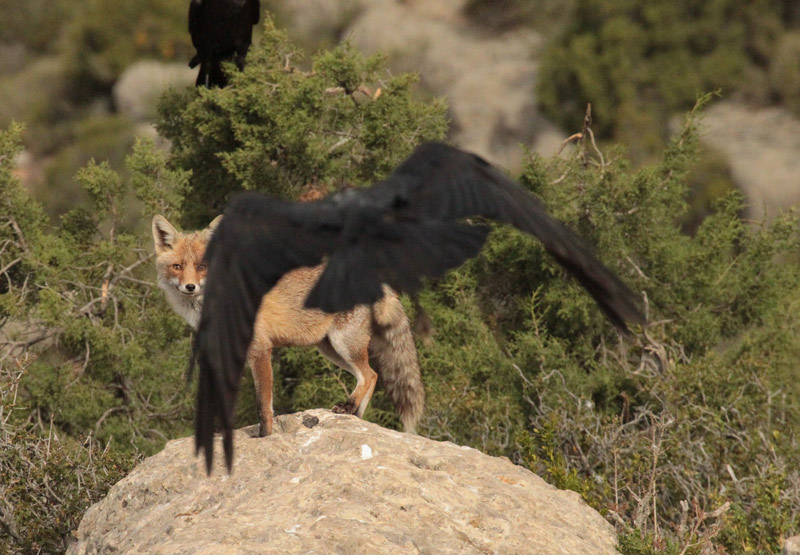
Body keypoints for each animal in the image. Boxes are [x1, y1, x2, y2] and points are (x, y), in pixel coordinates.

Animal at [152, 215, 424, 436]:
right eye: (177, 266)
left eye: (202, 267)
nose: (190, 287)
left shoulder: (260, 349)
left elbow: (263, 405)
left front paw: (265, 437)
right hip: (330, 349)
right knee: (372, 375)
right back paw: (354, 414)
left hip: (344, 344)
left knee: (369, 375)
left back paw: (349, 406)